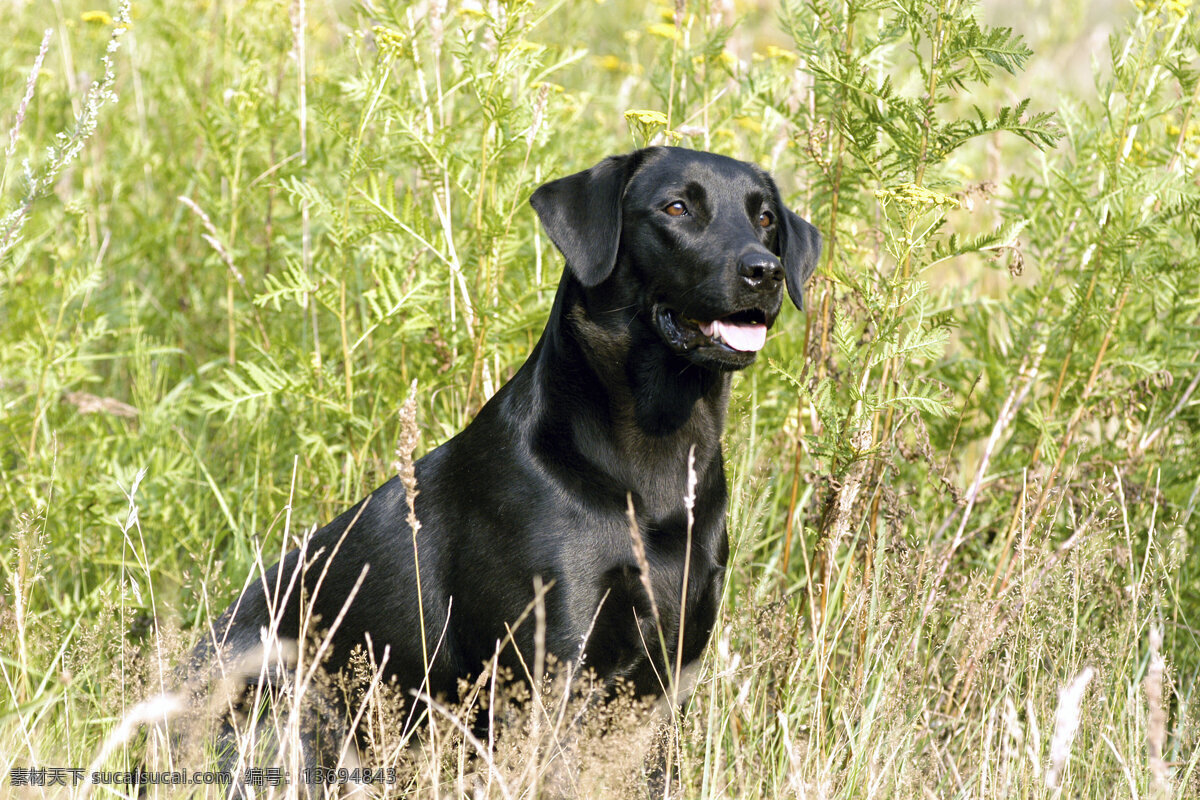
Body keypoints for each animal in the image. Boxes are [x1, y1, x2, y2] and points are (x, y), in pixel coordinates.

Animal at [192, 148, 820, 762]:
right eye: (676, 208)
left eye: (766, 218)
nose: (765, 272)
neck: (656, 456)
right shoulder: (548, 669)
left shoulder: (669, 679)